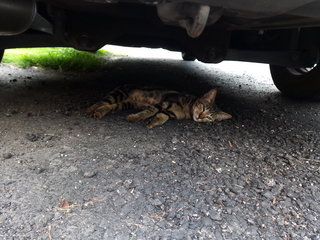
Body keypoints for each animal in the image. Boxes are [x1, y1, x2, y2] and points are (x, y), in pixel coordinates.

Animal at [85, 85, 231, 128]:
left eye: (209, 118)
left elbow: (162, 116)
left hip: (126, 103)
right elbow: (149, 111)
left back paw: (99, 112)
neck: (187, 110)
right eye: (203, 108)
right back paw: (90, 110)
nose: (200, 117)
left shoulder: (170, 112)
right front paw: (136, 117)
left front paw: (153, 122)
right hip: (119, 94)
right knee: (102, 102)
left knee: (110, 106)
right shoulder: (163, 103)